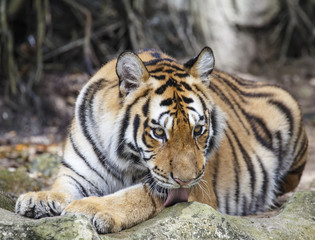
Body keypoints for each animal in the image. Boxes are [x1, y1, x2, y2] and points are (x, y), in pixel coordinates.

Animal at [15, 46, 308, 232]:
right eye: (158, 133)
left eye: (198, 130)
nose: (187, 180)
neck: (125, 160)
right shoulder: (77, 172)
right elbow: (61, 186)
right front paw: (38, 198)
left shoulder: (192, 191)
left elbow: (136, 196)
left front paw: (90, 208)